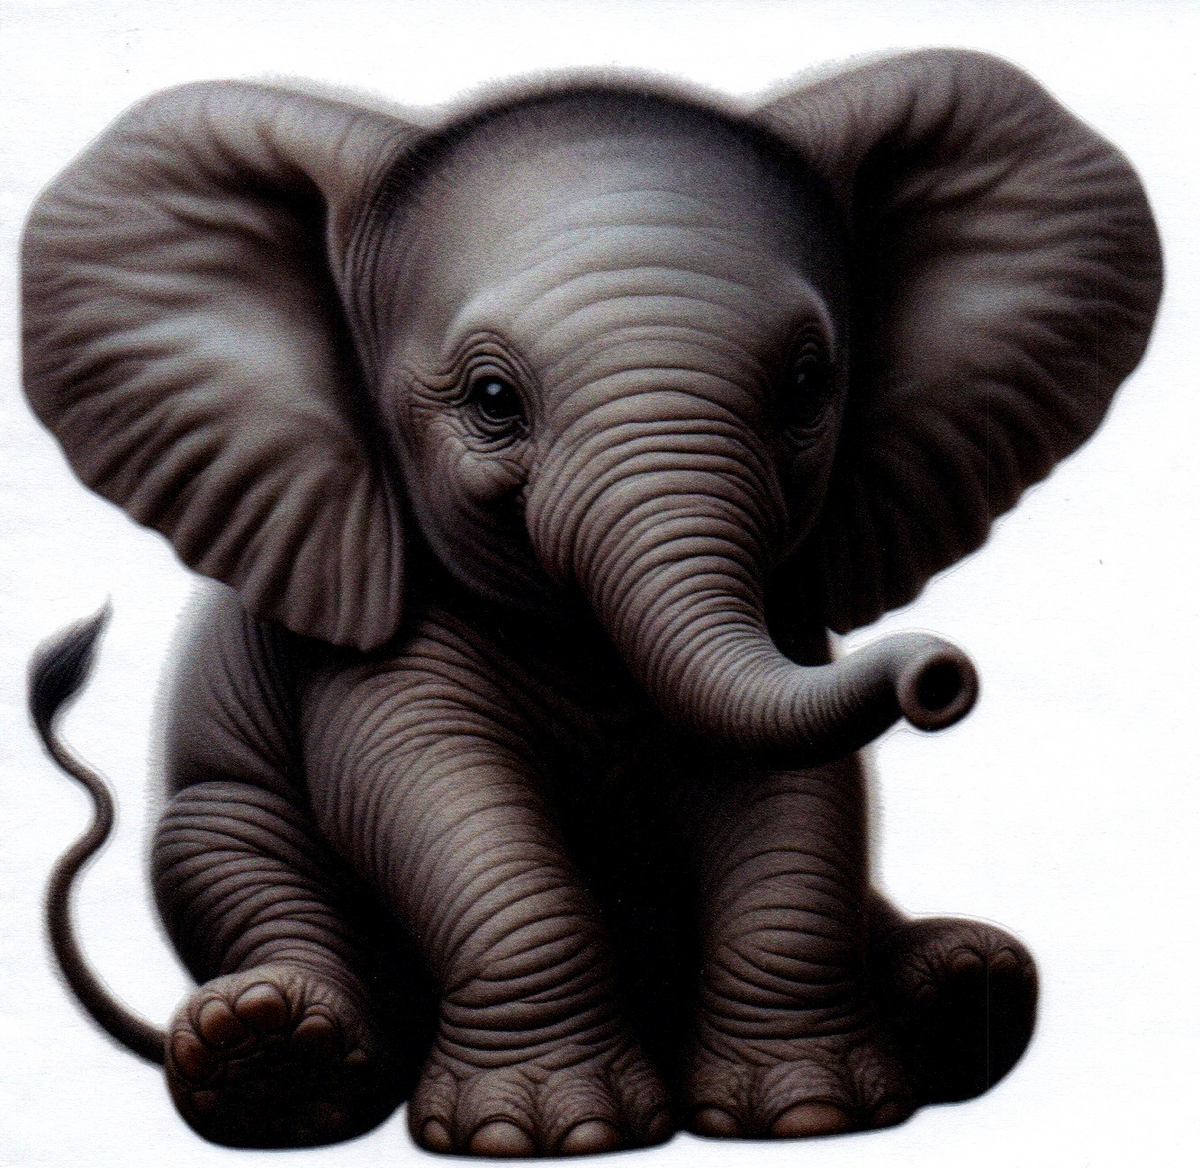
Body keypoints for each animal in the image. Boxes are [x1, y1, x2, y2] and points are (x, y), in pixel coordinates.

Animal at [24, 48, 1161, 1157]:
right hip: (218, 813)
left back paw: (966, 987)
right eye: (491, 401)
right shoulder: (370, 634)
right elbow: (426, 785)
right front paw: (545, 1134)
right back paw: (269, 1059)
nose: (939, 675)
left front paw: (811, 1115)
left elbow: (797, 798)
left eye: (806, 385)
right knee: (223, 851)